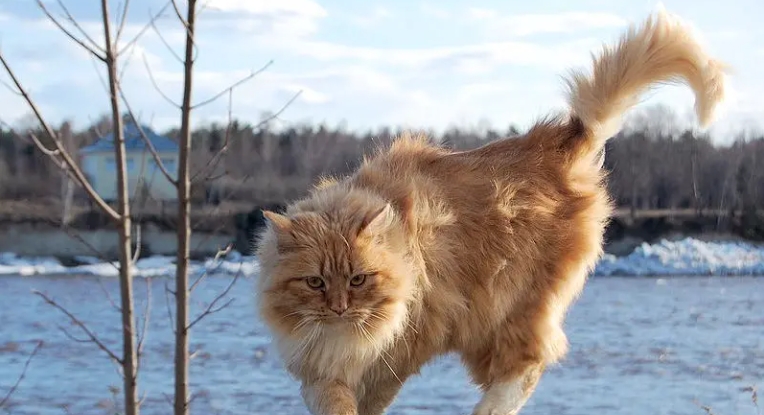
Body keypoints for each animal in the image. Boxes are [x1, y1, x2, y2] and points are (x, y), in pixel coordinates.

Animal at [254, 8, 724, 415]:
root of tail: (561, 141)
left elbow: (366, 400)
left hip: (511, 308)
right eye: (315, 282)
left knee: (527, 367)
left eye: (358, 280)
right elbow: (332, 398)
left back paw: (489, 409)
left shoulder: (401, 349)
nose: (338, 308)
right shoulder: (319, 367)